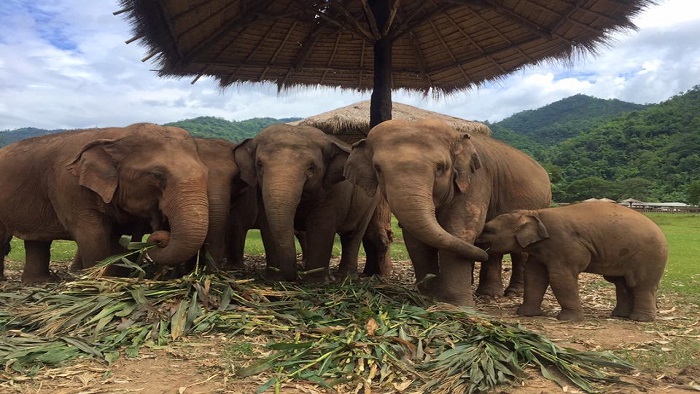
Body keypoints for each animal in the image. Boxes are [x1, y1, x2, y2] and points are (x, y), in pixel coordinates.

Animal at [0, 123, 209, 284]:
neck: (116, 135)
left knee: (37, 240)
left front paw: (116, 277)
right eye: (157, 175)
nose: (160, 238)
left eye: (205, 172)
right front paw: (96, 279)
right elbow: (93, 234)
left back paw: (39, 282)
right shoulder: (68, 186)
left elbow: (125, 236)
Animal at [234, 124, 378, 282]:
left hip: (370, 202)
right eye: (259, 164)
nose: (294, 277)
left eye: (311, 167)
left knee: (353, 235)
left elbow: (320, 225)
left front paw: (316, 282)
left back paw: (346, 278)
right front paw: (275, 278)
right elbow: (267, 222)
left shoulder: (333, 190)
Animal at [344, 118, 552, 306]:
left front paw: (457, 305)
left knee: (519, 249)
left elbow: (460, 230)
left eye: (440, 167)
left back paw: (510, 293)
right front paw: (429, 298)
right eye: (378, 169)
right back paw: (487, 293)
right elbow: (417, 240)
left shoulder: (476, 180)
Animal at [476, 202, 668, 322]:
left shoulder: (563, 243)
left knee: (641, 286)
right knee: (622, 283)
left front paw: (568, 319)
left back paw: (640, 319)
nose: (477, 242)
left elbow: (560, 277)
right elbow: (534, 275)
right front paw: (525, 314)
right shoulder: (540, 250)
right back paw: (620, 316)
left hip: (649, 257)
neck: (535, 213)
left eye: (489, 230)